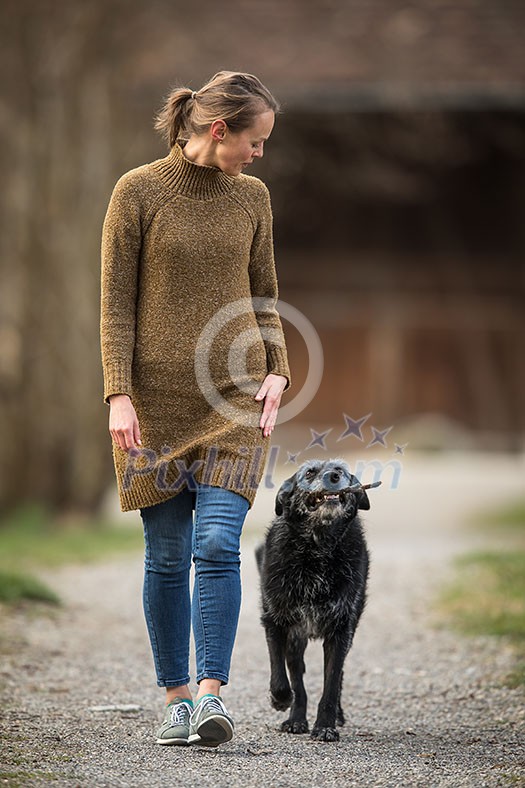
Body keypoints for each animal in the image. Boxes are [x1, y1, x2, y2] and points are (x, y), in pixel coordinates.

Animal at [254, 458, 376, 740]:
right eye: (309, 472)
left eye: (341, 470)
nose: (333, 476)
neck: (317, 548)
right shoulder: (275, 622)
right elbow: (281, 676)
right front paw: (281, 700)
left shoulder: (340, 631)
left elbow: (331, 682)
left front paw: (325, 726)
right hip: (295, 640)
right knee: (296, 676)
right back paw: (296, 719)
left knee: (337, 676)